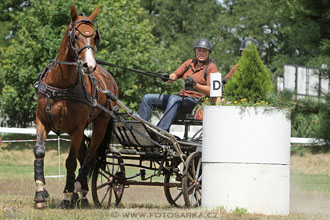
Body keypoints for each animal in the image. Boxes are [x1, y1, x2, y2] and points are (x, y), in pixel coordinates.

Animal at [33, 5, 118, 208]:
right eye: (76, 35)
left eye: (95, 37)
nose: (89, 65)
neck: (62, 85)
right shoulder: (41, 121)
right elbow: (39, 151)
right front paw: (40, 193)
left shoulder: (77, 129)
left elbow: (71, 162)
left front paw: (65, 196)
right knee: (84, 155)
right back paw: (79, 195)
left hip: (99, 125)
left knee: (89, 158)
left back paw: (79, 191)